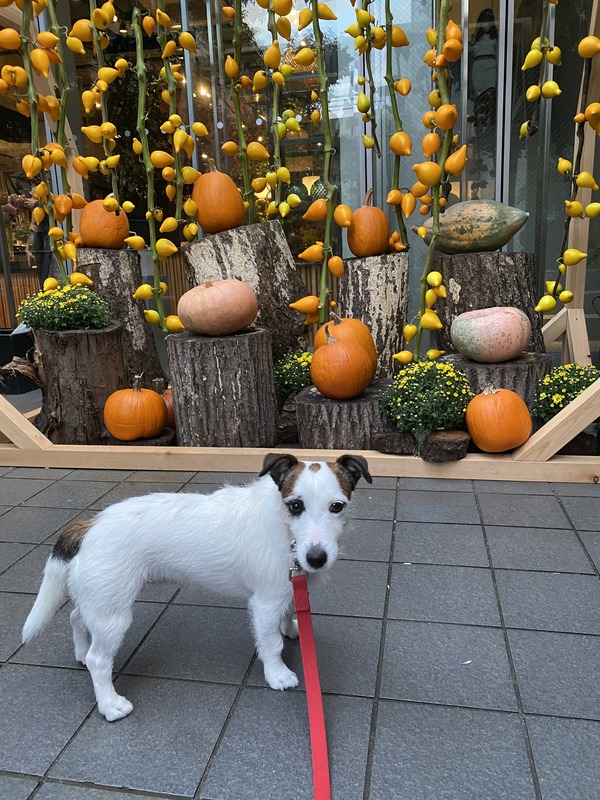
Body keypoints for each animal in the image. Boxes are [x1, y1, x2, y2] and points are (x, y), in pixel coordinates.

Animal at [22, 453, 371, 721]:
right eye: (295, 505)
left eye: (337, 506)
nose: (316, 558)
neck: (285, 530)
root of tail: (90, 524)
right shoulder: (266, 602)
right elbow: (270, 643)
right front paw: (277, 674)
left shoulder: (284, 589)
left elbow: (286, 615)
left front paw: (291, 628)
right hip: (113, 614)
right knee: (99, 660)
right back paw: (110, 704)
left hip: (100, 600)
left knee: (76, 617)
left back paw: (81, 652)